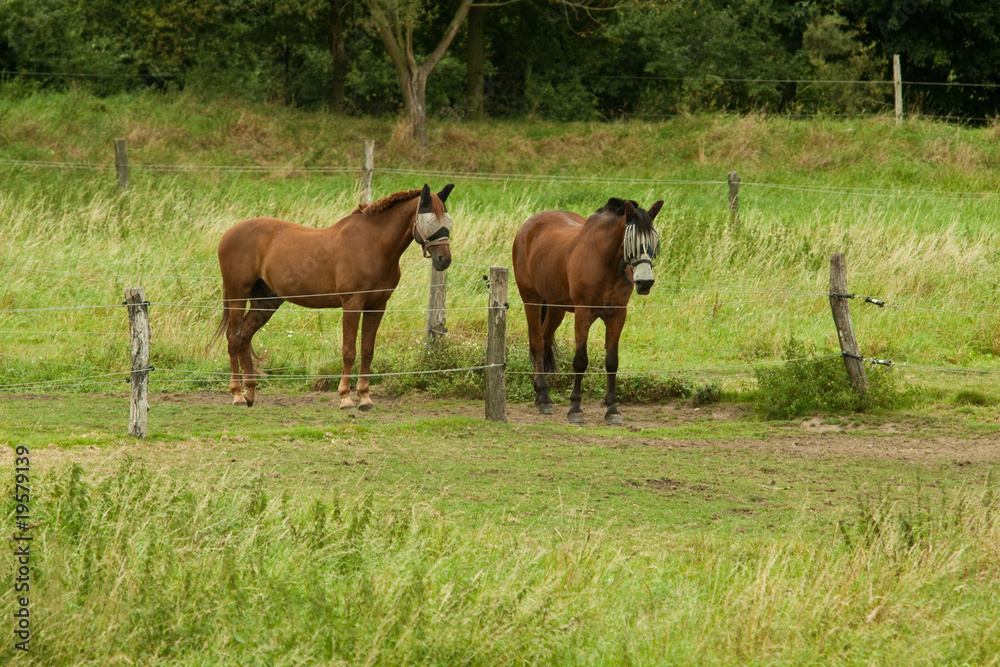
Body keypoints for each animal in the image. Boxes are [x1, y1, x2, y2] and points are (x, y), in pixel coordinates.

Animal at [213, 183, 455, 410]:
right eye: (430, 221)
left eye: (449, 222)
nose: (444, 259)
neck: (373, 245)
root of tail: (228, 233)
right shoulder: (352, 304)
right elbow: (349, 352)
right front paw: (346, 399)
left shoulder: (377, 305)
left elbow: (367, 351)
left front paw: (365, 399)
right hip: (237, 297)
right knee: (234, 339)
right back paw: (237, 395)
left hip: (265, 303)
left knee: (244, 337)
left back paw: (250, 393)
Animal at [512, 197, 663, 425]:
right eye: (630, 240)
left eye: (654, 240)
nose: (645, 282)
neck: (605, 261)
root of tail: (527, 227)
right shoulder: (583, 314)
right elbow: (580, 360)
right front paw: (575, 409)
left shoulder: (617, 315)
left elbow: (612, 361)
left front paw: (612, 410)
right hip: (531, 300)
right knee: (537, 344)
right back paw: (544, 399)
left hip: (556, 307)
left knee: (545, 340)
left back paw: (540, 393)